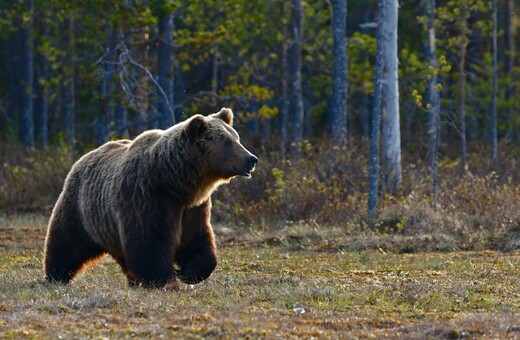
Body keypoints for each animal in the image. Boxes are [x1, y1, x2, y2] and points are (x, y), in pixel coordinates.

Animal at [43, 108, 258, 286]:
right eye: (227, 142)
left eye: (237, 138)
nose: (252, 159)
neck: (174, 182)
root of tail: (84, 157)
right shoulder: (147, 196)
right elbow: (150, 240)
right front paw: (163, 279)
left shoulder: (192, 207)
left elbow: (196, 238)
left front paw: (189, 272)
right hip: (81, 209)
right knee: (66, 242)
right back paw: (56, 276)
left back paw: (133, 280)